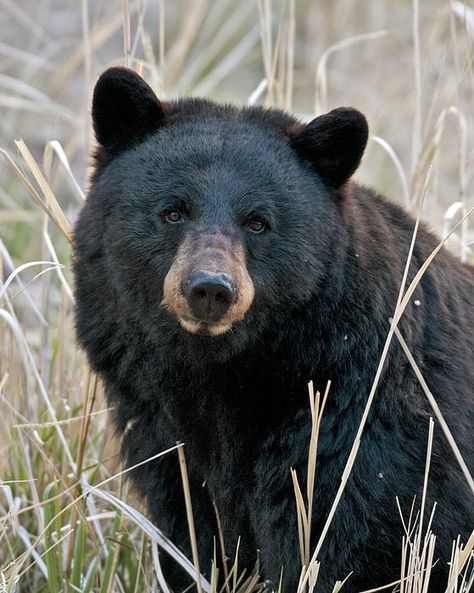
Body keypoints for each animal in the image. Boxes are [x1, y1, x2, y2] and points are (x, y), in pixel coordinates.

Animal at [74, 67, 474, 588]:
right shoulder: (164, 441)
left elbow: (353, 547)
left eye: (259, 222)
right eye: (173, 211)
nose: (210, 289)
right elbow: (192, 534)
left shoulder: (364, 431)